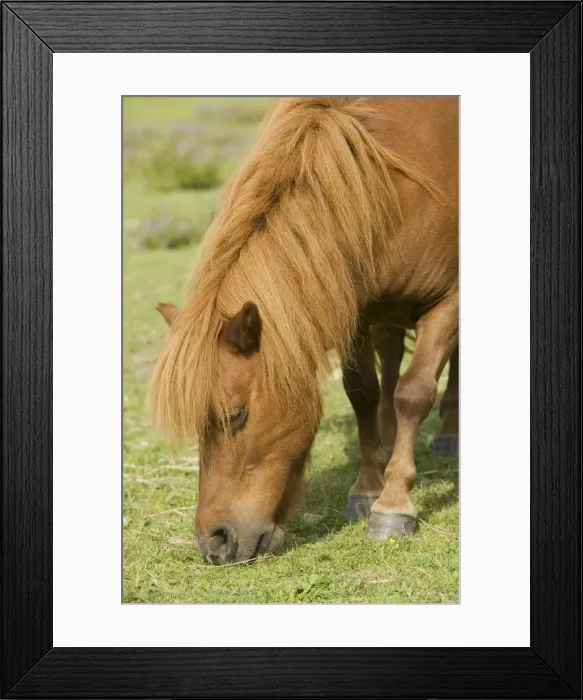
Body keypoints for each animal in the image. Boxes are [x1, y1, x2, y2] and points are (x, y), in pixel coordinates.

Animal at [148, 97, 459, 564]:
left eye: (235, 414)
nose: (214, 542)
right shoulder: (355, 307)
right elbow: (362, 392)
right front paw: (367, 487)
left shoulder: (448, 301)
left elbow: (414, 393)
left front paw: (392, 505)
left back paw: (447, 436)